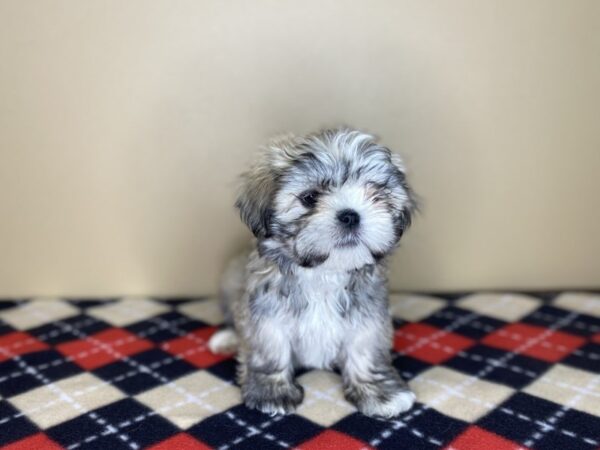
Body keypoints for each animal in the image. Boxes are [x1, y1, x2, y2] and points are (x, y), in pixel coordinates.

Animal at [209, 127, 420, 418]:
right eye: (310, 198)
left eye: (376, 194)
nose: (350, 215)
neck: (323, 272)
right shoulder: (266, 313)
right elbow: (270, 348)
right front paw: (271, 392)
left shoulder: (367, 316)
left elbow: (364, 349)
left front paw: (380, 392)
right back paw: (228, 338)